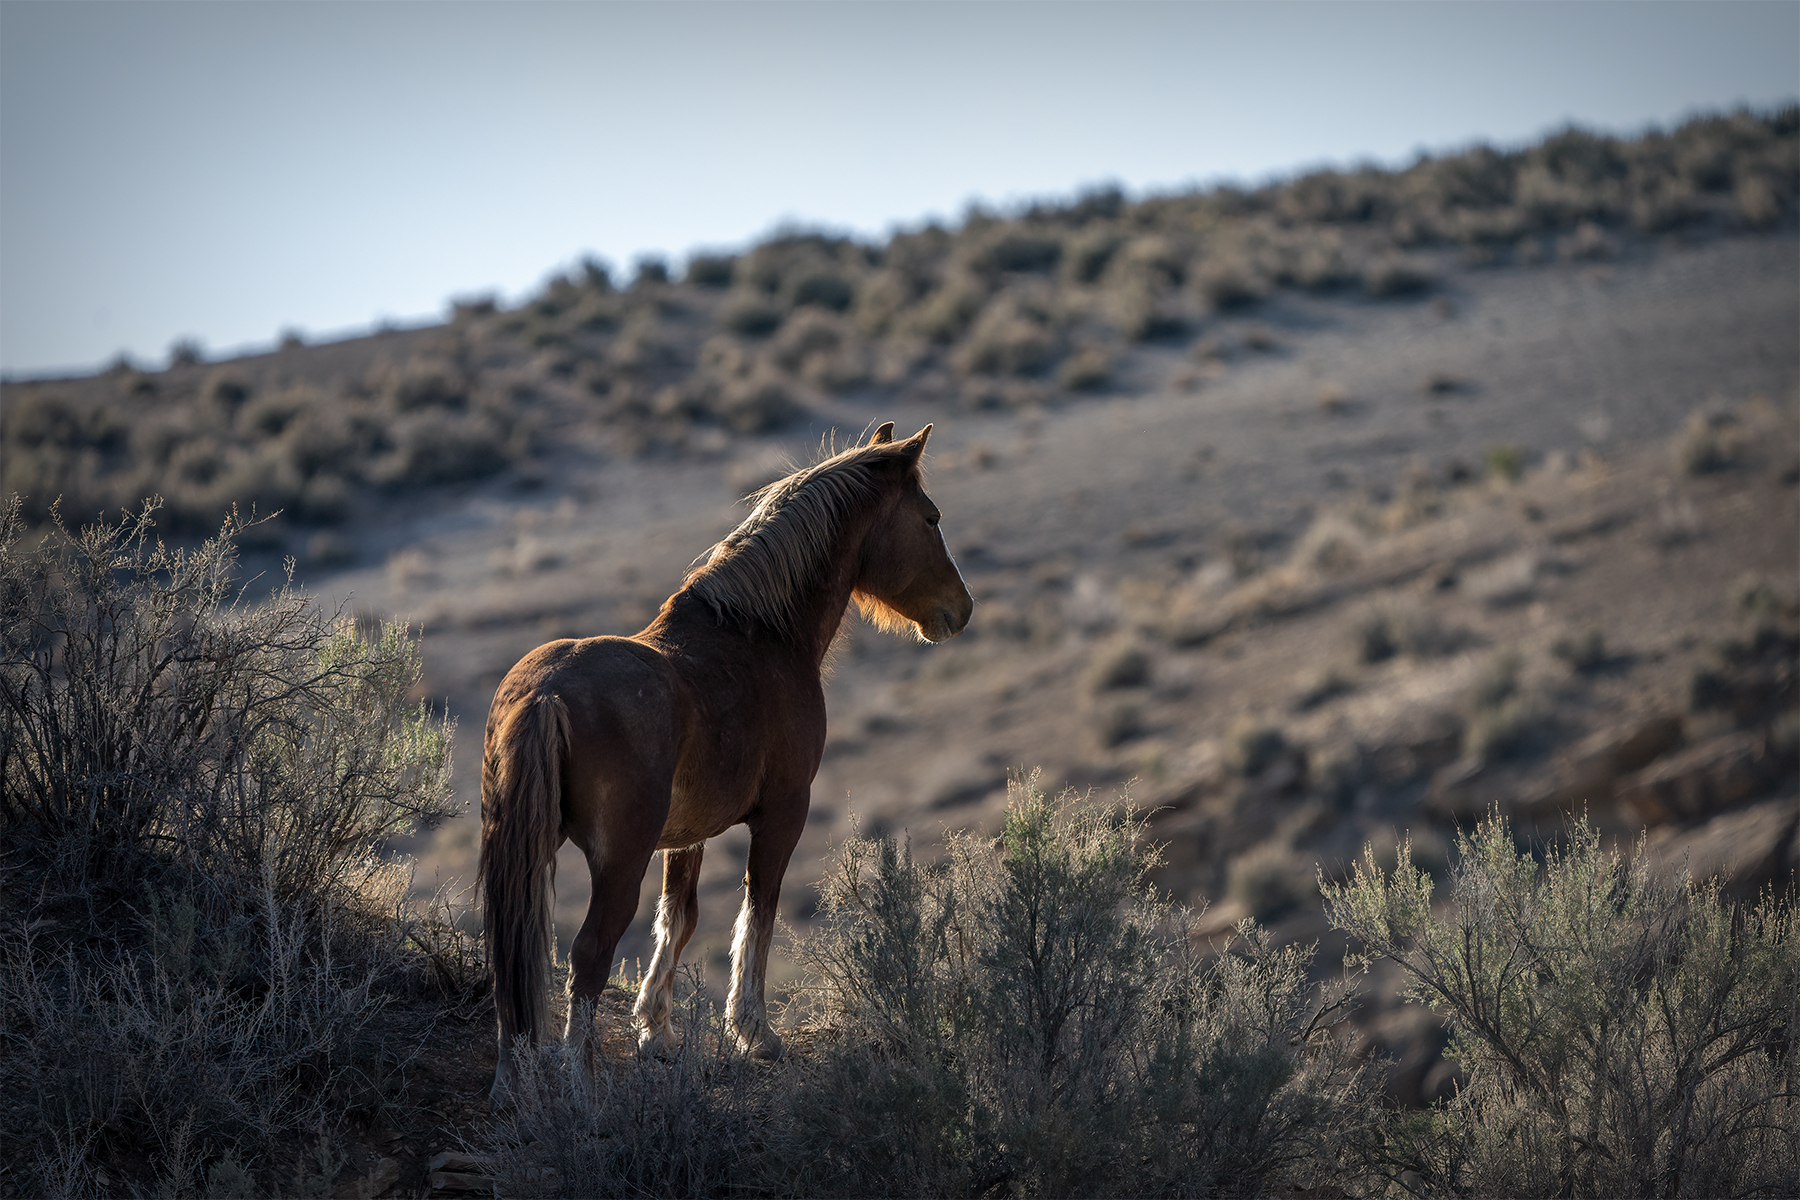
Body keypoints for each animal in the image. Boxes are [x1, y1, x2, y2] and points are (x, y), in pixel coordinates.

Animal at [479, 421, 972, 1104]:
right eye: (931, 518)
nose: (961, 609)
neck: (759, 633)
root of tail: (544, 693)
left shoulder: (687, 835)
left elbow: (678, 920)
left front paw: (656, 1032)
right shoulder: (783, 811)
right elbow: (758, 910)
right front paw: (754, 1033)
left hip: (525, 849)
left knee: (514, 946)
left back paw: (510, 1080)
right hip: (618, 860)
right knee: (589, 951)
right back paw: (579, 1081)